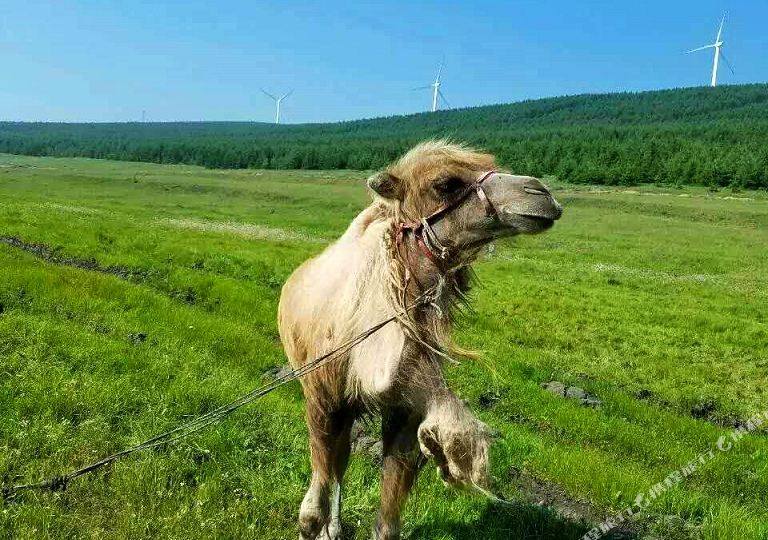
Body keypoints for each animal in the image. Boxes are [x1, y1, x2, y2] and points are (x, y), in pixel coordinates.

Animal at [280, 141, 560, 536]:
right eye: (445, 184)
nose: (541, 195)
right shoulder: (321, 395)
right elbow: (310, 512)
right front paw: (317, 527)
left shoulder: (405, 409)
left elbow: (387, 522)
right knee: (337, 461)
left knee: (342, 459)